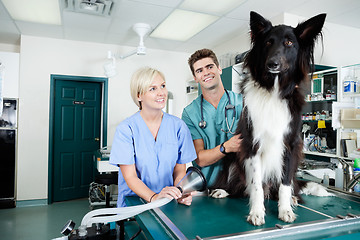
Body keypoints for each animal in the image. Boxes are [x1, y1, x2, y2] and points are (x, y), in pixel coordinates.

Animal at [211, 11, 332, 225]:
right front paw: (257, 212)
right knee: (241, 186)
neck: (274, 90)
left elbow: (285, 184)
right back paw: (223, 191)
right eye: (268, 42)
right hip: (233, 159)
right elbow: (256, 185)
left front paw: (285, 209)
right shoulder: (252, 144)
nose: (272, 64)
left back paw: (293, 198)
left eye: (289, 43)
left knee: (287, 186)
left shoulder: (290, 146)